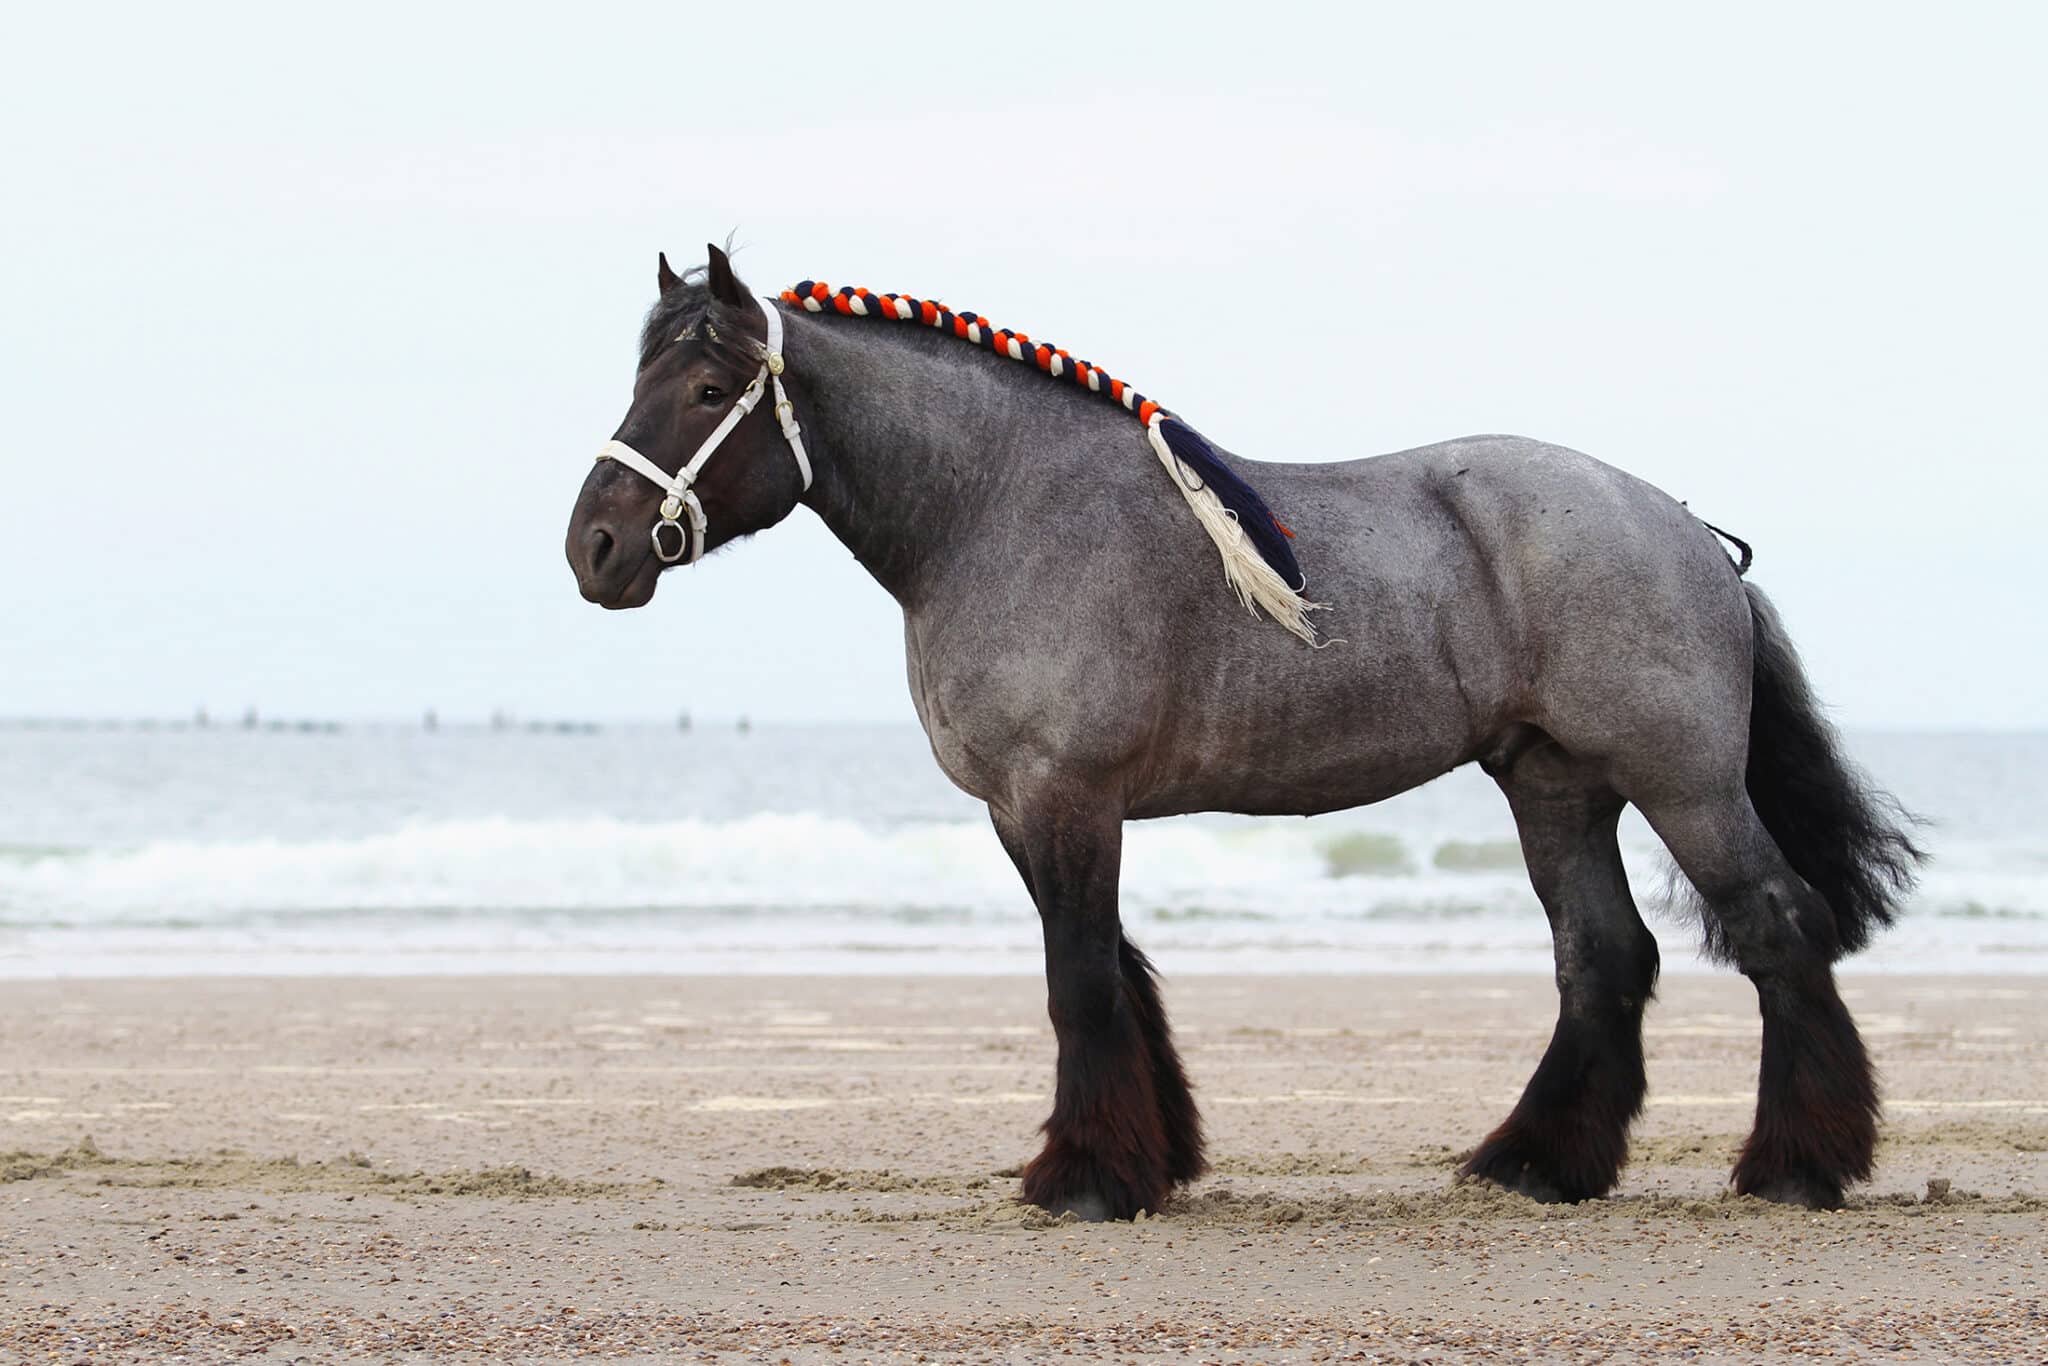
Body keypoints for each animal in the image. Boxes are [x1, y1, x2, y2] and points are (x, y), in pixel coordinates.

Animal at [565, 245, 1922, 1221]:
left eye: (704, 390)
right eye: (636, 384)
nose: (596, 548)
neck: (999, 507)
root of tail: (1684, 526)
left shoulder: (1065, 796)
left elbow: (1077, 980)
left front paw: (1085, 1180)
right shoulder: (1024, 811)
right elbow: (1115, 970)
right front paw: (1146, 1158)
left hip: (1681, 782)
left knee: (1776, 927)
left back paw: (1795, 1166)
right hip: (1554, 787)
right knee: (1602, 958)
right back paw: (1538, 1162)